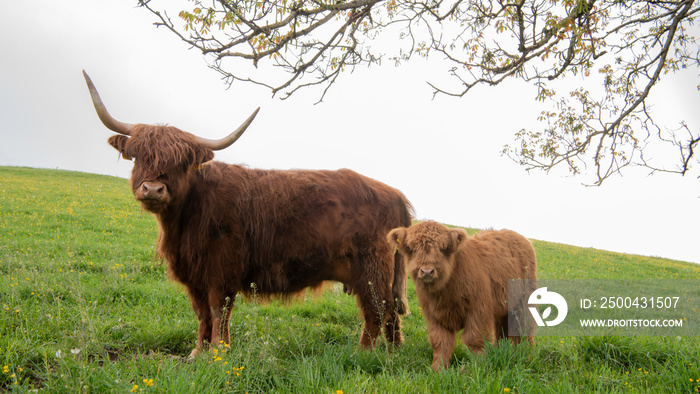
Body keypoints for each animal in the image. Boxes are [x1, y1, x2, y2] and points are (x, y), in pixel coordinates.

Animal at [388, 220, 536, 370]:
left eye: (442, 248)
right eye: (411, 248)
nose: (427, 271)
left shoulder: (478, 310)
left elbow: (474, 339)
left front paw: (476, 366)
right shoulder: (434, 315)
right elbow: (440, 341)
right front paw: (438, 368)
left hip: (524, 301)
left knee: (523, 328)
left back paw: (524, 355)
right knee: (503, 329)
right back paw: (501, 350)